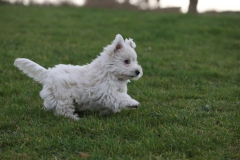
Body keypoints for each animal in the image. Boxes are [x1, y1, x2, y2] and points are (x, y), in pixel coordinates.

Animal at [14, 34, 142, 120]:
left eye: (135, 61)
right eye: (126, 61)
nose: (138, 71)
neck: (110, 72)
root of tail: (48, 73)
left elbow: (115, 102)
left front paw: (106, 113)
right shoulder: (107, 92)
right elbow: (122, 98)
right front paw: (133, 103)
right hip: (63, 97)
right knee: (63, 111)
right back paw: (75, 118)